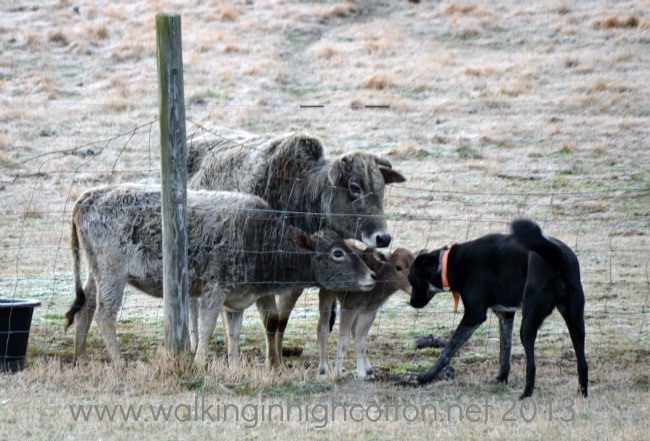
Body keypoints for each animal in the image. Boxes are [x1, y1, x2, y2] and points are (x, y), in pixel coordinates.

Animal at [64, 185, 377, 365]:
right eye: (337, 253)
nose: (372, 275)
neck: (259, 238)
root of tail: (87, 197)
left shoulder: (237, 298)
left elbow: (234, 333)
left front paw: (235, 364)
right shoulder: (214, 290)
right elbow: (206, 328)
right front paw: (201, 361)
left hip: (96, 273)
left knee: (86, 307)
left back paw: (80, 356)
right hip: (113, 274)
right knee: (105, 314)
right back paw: (118, 362)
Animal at [186, 127, 406, 366]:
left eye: (381, 187)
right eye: (355, 186)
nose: (383, 238)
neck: (300, 193)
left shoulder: (293, 280)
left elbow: (281, 320)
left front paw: (279, 360)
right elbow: (271, 321)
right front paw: (272, 363)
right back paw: (195, 344)